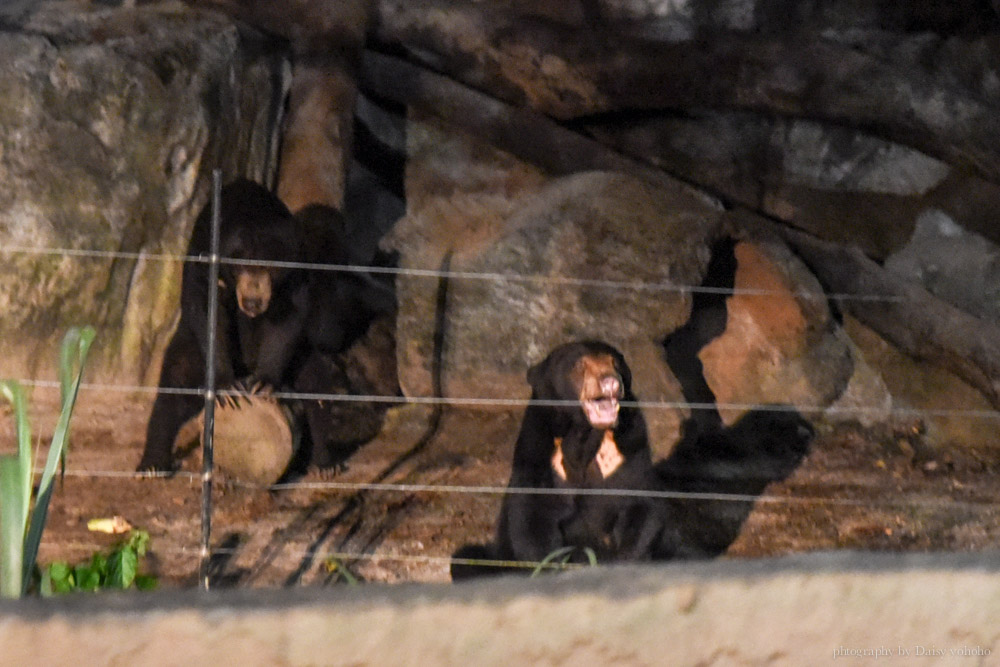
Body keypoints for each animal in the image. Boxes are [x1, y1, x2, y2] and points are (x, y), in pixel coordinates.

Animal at [137, 177, 308, 470]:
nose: (252, 302)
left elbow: (290, 316)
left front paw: (265, 383)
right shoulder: (204, 254)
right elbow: (205, 306)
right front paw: (228, 388)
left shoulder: (295, 267)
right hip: (189, 343)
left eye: (270, 268)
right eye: (239, 268)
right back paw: (151, 465)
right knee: (174, 384)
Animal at [452, 340, 680, 580]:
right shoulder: (539, 454)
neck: (584, 433)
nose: (610, 382)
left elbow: (642, 504)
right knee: (467, 558)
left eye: (614, 362)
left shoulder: (629, 449)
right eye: (580, 365)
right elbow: (533, 518)